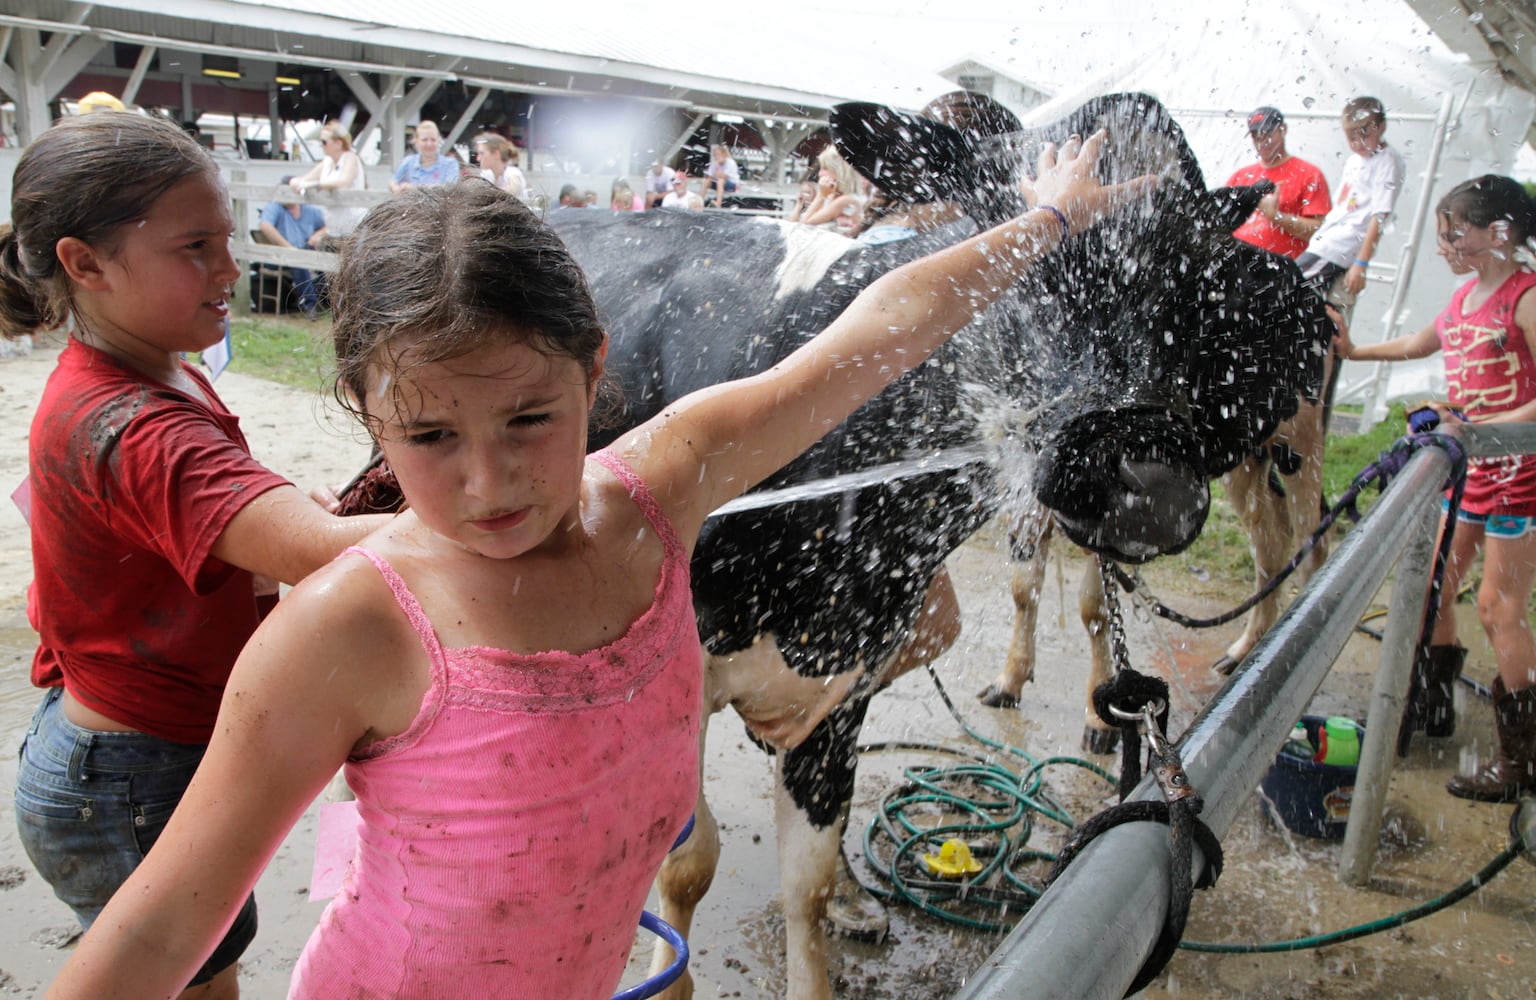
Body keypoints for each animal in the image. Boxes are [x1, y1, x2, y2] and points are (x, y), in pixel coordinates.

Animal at [552, 91, 1333, 995]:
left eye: (1192, 275)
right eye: (1022, 262)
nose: (1150, 481)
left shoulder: (847, 674)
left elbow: (807, 875)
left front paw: (833, 907)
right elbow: (687, 863)